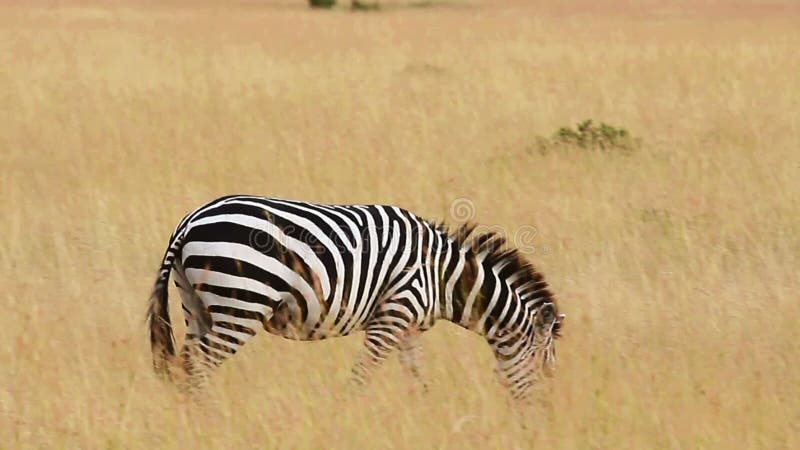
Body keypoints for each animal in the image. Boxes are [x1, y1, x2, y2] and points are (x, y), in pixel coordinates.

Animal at [148, 195, 564, 400]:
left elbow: (416, 378)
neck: (441, 277)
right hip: (242, 304)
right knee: (197, 364)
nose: (543, 413)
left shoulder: (409, 328)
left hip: (197, 304)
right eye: (544, 365)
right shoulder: (393, 315)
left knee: (188, 362)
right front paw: (349, 410)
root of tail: (189, 222)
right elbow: (362, 376)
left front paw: (423, 412)